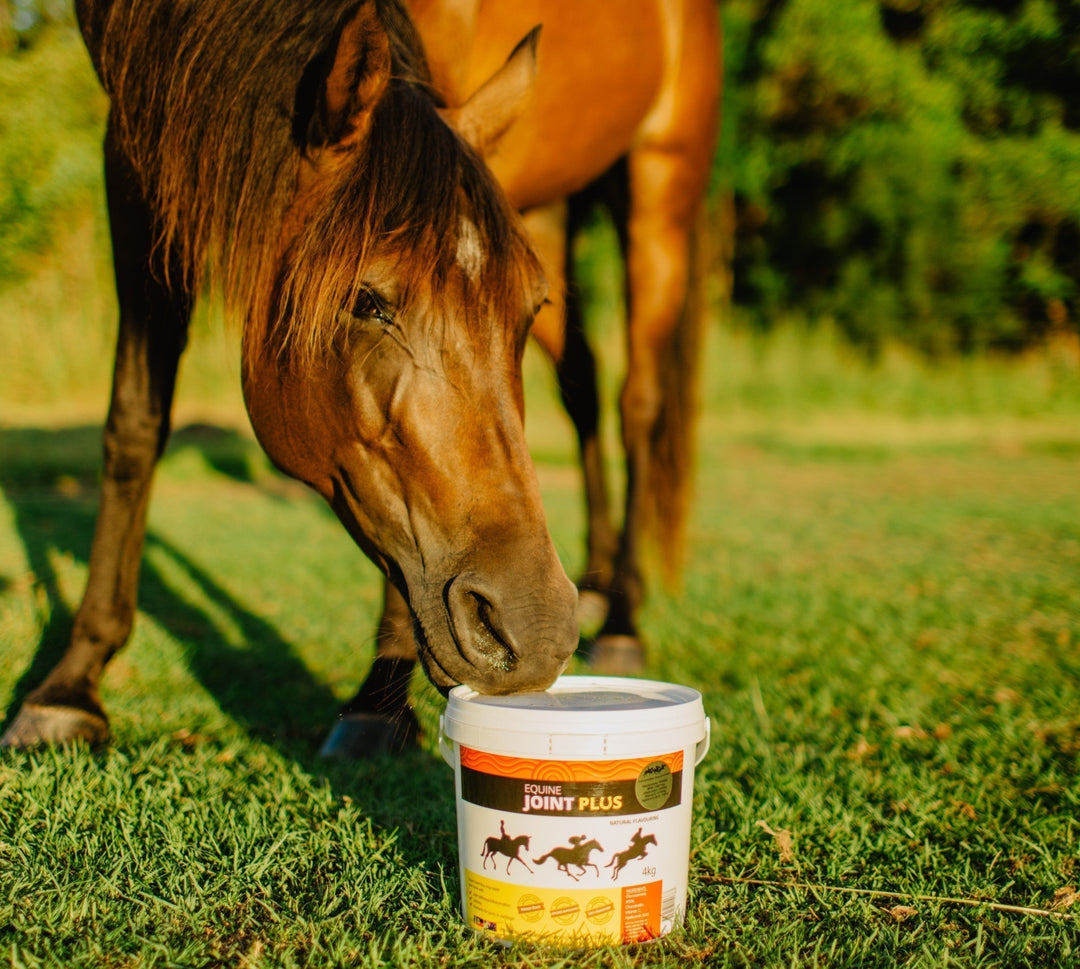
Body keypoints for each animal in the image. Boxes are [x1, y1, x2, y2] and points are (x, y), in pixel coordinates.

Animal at [0, 0, 719, 755]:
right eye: (368, 302)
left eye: (528, 308)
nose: (538, 628)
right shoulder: (139, 147)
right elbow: (136, 420)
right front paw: (69, 687)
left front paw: (379, 698)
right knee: (584, 384)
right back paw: (602, 581)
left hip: (659, 191)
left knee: (639, 405)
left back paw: (623, 619)